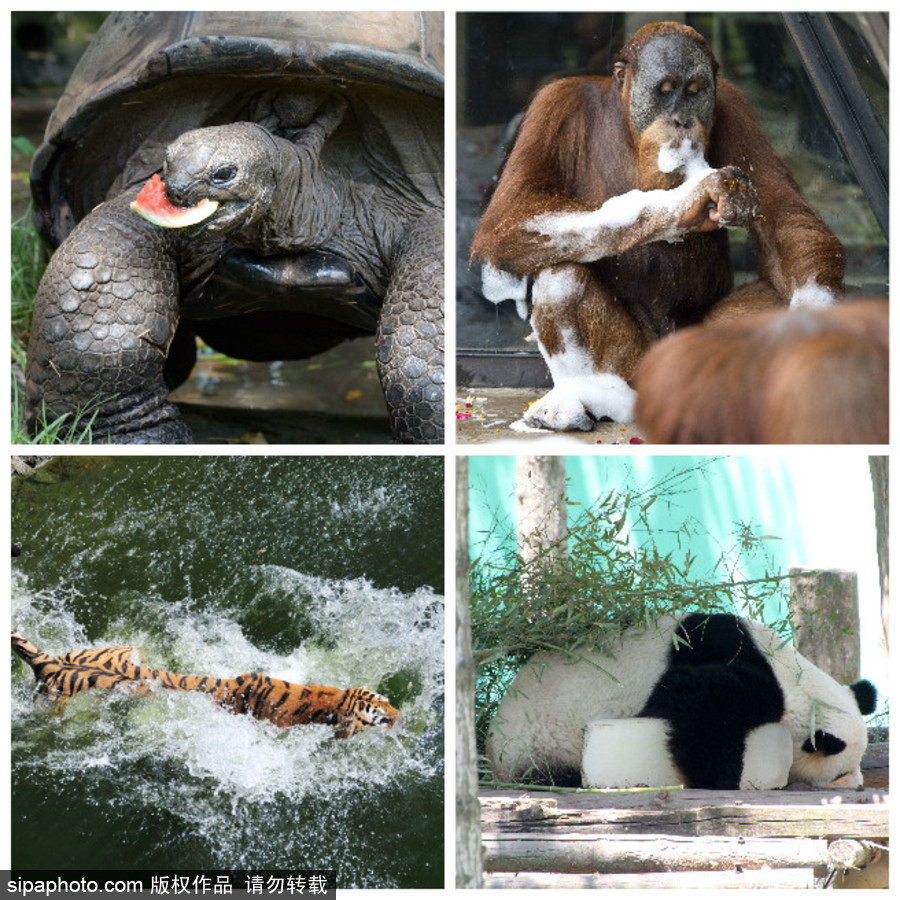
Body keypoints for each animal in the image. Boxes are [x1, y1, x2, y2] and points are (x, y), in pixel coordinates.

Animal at [488, 612, 876, 788]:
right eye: (839, 772)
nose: (857, 785)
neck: (797, 682)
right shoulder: (736, 664)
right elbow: (695, 701)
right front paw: (719, 779)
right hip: (539, 743)